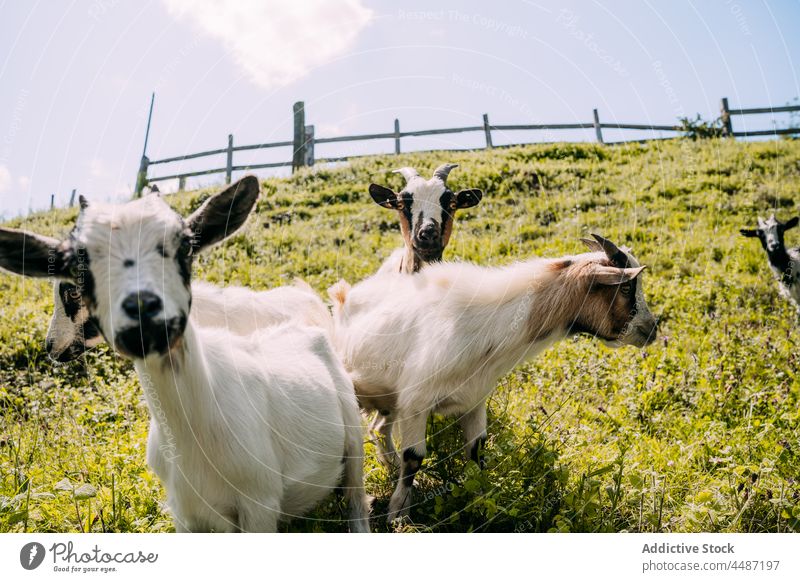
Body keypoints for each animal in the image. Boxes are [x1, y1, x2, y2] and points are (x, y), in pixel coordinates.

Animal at [0, 177, 368, 532]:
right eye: (76, 269)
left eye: (185, 247)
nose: (51, 346)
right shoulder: (184, 514)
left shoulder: (259, 506)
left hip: (353, 437)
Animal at [328, 235, 660, 524]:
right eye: (627, 288)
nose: (652, 329)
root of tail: (343, 296)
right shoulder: (416, 403)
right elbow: (414, 458)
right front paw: (399, 514)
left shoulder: (473, 400)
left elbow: (477, 454)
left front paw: (482, 500)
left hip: (388, 399)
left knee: (379, 428)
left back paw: (390, 466)